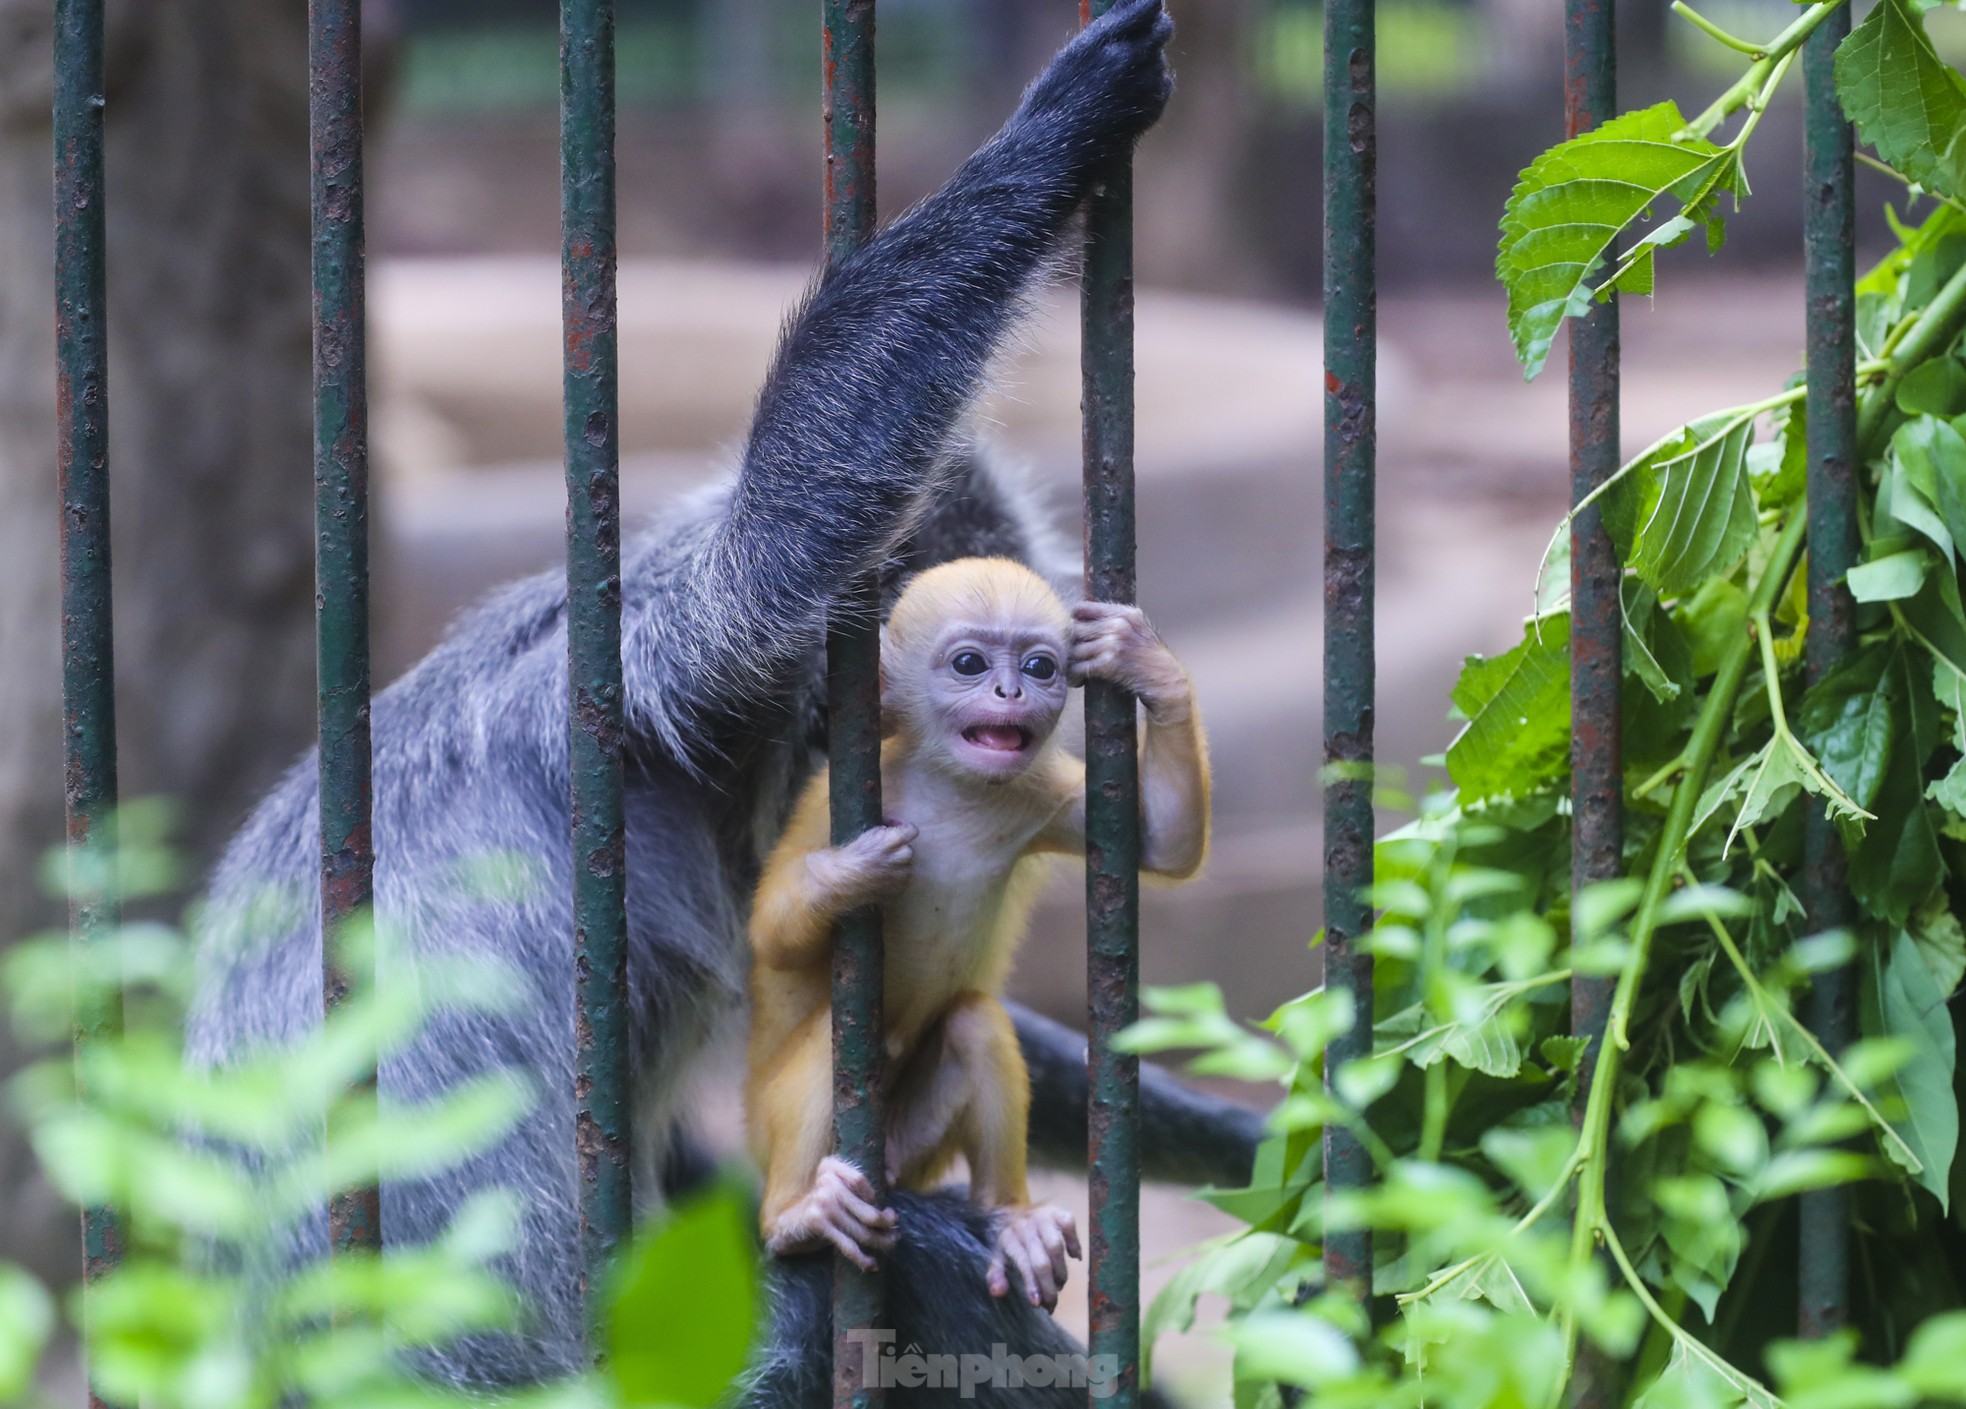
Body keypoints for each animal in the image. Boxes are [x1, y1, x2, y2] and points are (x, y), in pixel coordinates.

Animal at [751, 554, 1211, 1304]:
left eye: (1041, 666)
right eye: (969, 662)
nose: (1009, 690)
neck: (952, 789)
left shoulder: (1041, 789)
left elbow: (1161, 843)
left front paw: (1144, 661)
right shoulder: (831, 802)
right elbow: (769, 935)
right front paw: (850, 875)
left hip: (915, 1147)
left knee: (974, 1022)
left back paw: (1011, 1217)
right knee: (828, 1042)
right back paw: (796, 1216)